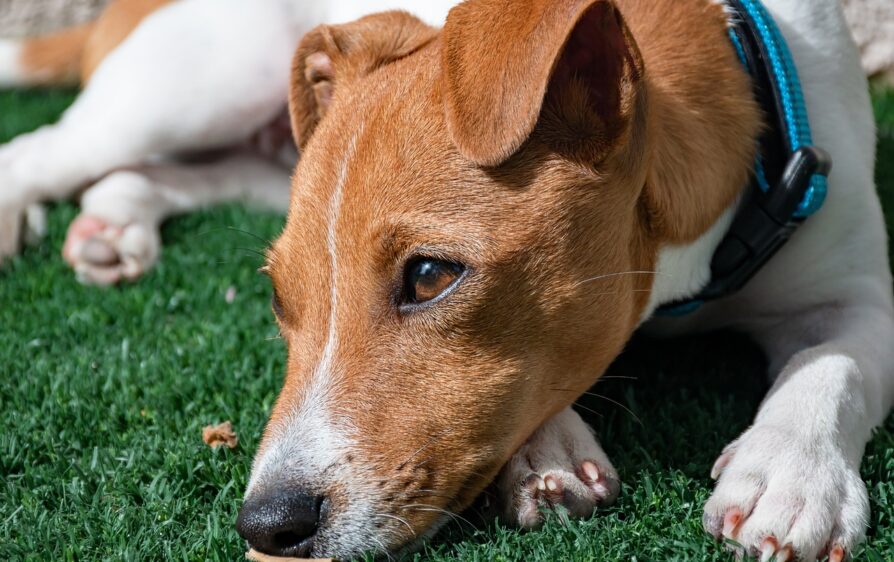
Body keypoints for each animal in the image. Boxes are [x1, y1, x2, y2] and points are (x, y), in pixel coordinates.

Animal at [236, 1, 894, 560]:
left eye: (428, 276)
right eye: (278, 298)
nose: (266, 525)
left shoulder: (854, 294)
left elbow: (834, 364)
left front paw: (791, 475)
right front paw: (547, 450)